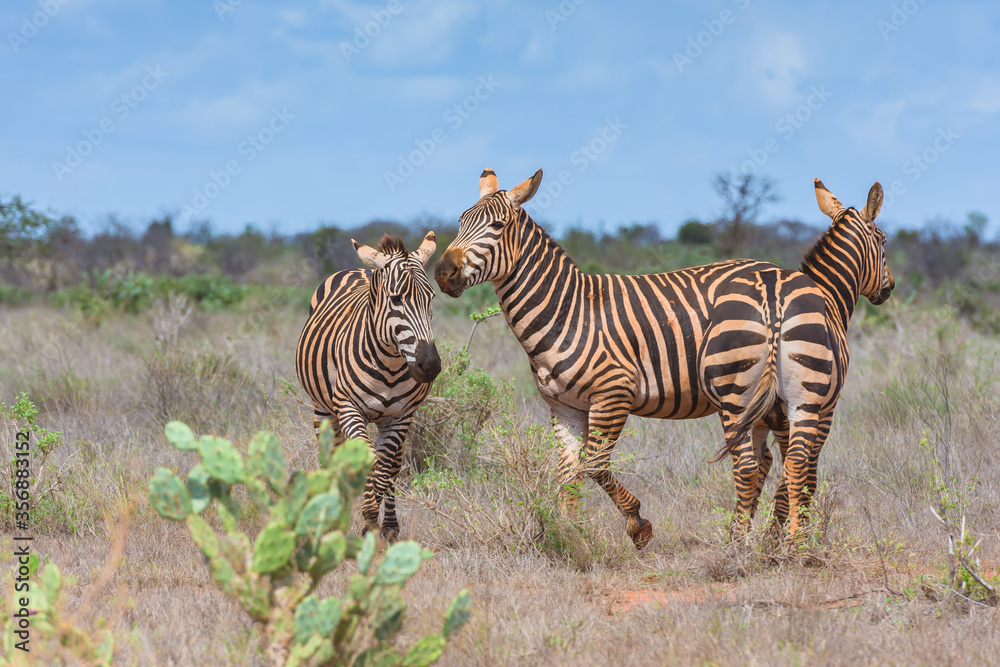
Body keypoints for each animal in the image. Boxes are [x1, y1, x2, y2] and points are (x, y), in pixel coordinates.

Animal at [296, 232, 441, 541]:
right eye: (396, 299)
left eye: (431, 298)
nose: (430, 366)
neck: (390, 363)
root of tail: (361, 268)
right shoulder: (349, 408)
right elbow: (365, 462)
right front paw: (366, 520)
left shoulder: (400, 417)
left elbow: (384, 470)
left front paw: (377, 523)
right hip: (323, 409)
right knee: (332, 456)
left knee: (394, 466)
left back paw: (390, 525)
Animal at [433, 169, 893, 547]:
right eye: (459, 221)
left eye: (496, 226)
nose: (442, 272)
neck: (566, 310)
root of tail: (775, 285)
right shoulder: (564, 406)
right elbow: (569, 472)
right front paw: (570, 535)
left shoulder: (613, 393)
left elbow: (594, 466)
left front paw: (637, 526)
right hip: (773, 400)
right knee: (775, 463)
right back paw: (767, 542)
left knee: (772, 464)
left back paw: (762, 543)